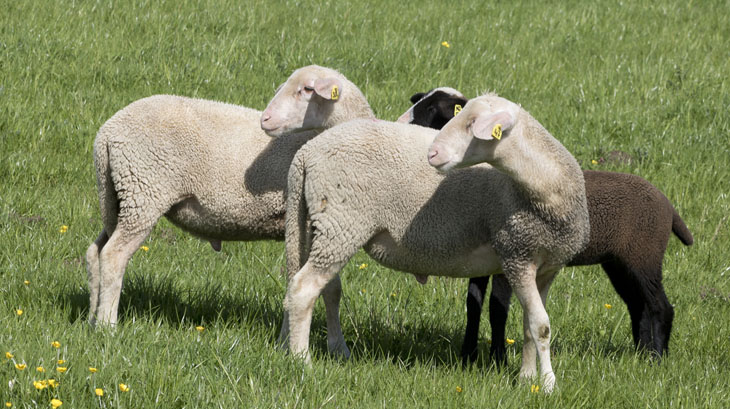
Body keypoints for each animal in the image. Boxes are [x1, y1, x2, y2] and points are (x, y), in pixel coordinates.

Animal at [84, 64, 370, 360]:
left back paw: (92, 319)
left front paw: (337, 349)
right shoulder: (313, 224)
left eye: (307, 89)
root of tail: (107, 133)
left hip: (119, 196)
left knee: (95, 252)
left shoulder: (322, 226)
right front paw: (310, 343)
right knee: (114, 256)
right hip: (143, 192)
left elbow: (330, 289)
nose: (265, 119)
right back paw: (107, 327)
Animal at [282, 93, 588, 392]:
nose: (432, 153)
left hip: (323, 227)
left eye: (472, 123)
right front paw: (548, 385)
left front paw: (526, 379)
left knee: (327, 288)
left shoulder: (546, 267)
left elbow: (528, 325)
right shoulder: (516, 255)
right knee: (303, 289)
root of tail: (307, 152)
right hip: (341, 222)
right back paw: (302, 362)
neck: (545, 190)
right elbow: (541, 326)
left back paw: (338, 350)